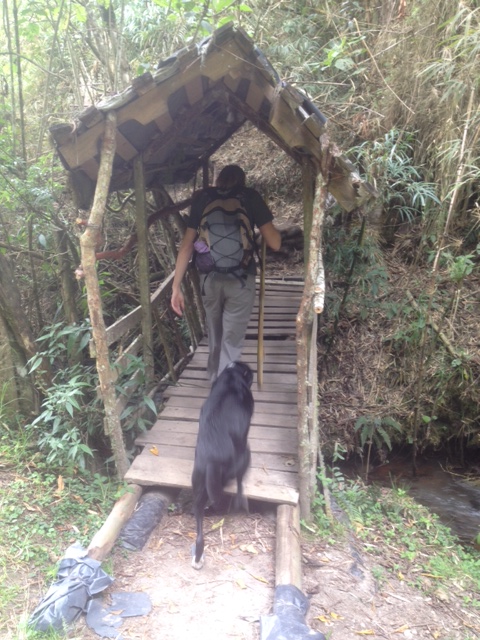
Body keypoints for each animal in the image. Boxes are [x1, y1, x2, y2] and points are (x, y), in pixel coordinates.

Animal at [191, 361, 254, 569]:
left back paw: (198, 556)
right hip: (244, 455)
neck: (231, 376)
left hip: (199, 484)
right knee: (239, 485)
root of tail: (212, 458)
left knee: (199, 522)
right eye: (250, 373)